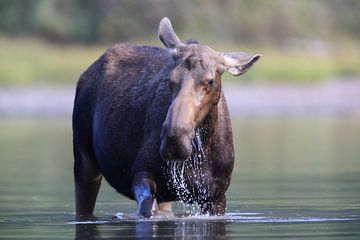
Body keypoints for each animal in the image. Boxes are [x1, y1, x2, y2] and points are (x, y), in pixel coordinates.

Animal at [71, 17, 260, 219]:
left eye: (210, 81)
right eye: (170, 79)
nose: (174, 140)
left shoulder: (216, 196)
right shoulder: (142, 173)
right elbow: (146, 209)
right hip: (83, 159)